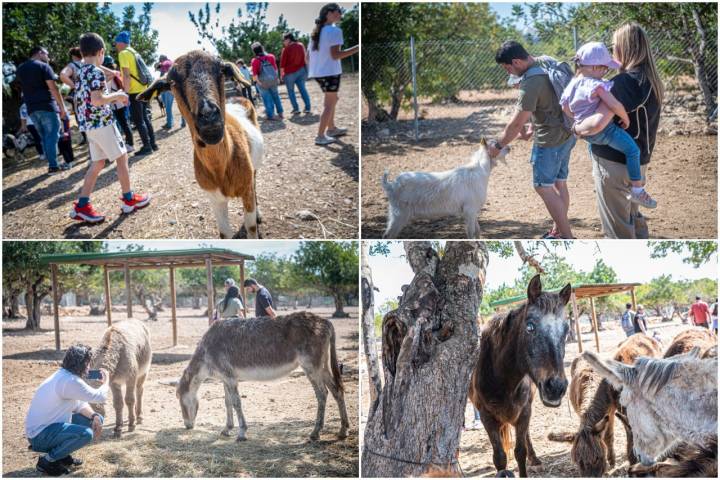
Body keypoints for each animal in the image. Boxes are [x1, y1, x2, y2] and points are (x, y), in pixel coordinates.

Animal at [470, 274, 572, 476]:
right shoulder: (487, 417)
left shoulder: (525, 411)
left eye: (566, 330)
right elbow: (500, 457)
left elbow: (520, 451)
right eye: (530, 327)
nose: (556, 387)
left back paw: (535, 459)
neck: (502, 379)